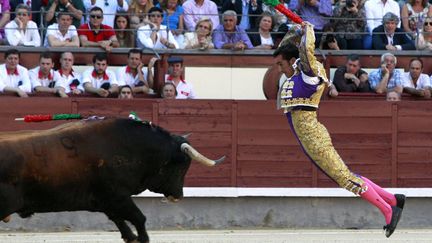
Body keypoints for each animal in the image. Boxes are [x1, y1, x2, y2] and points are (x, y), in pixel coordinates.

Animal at [0, 117, 224, 241]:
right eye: (182, 166)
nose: (178, 196)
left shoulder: (107, 202)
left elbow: (121, 221)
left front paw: (131, 238)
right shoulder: (118, 197)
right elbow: (139, 218)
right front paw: (143, 238)